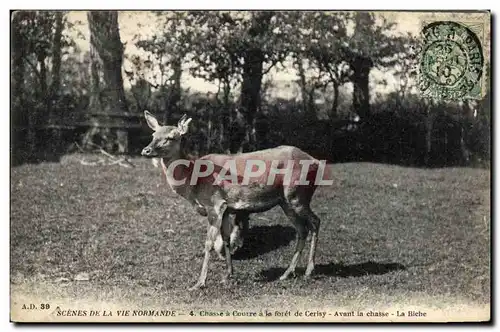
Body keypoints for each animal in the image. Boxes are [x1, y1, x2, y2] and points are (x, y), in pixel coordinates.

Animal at [142, 110, 328, 290]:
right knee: (302, 229)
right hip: (286, 201)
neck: (193, 184)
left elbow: (209, 243)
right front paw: (228, 275)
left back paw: (309, 271)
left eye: (171, 137)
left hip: (297, 194)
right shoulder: (226, 208)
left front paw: (199, 283)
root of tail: (316, 162)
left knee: (315, 222)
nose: (146, 150)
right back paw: (287, 273)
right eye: (153, 135)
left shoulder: (215, 204)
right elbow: (225, 240)